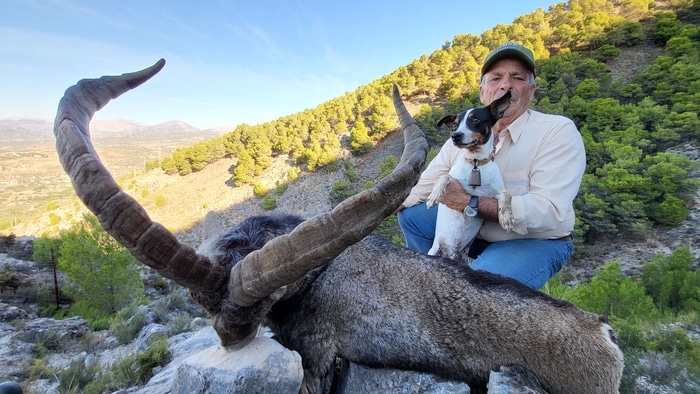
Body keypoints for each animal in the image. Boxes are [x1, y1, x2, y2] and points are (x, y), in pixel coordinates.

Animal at [424, 91, 516, 264]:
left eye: (475, 119)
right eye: (455, 125)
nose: (455, 136)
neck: (476, 163)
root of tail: (450, 254)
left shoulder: (497, 193)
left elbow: (507, 196)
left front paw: (506, 217)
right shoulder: (453, 177)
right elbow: (444, 176)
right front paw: (434, 196)